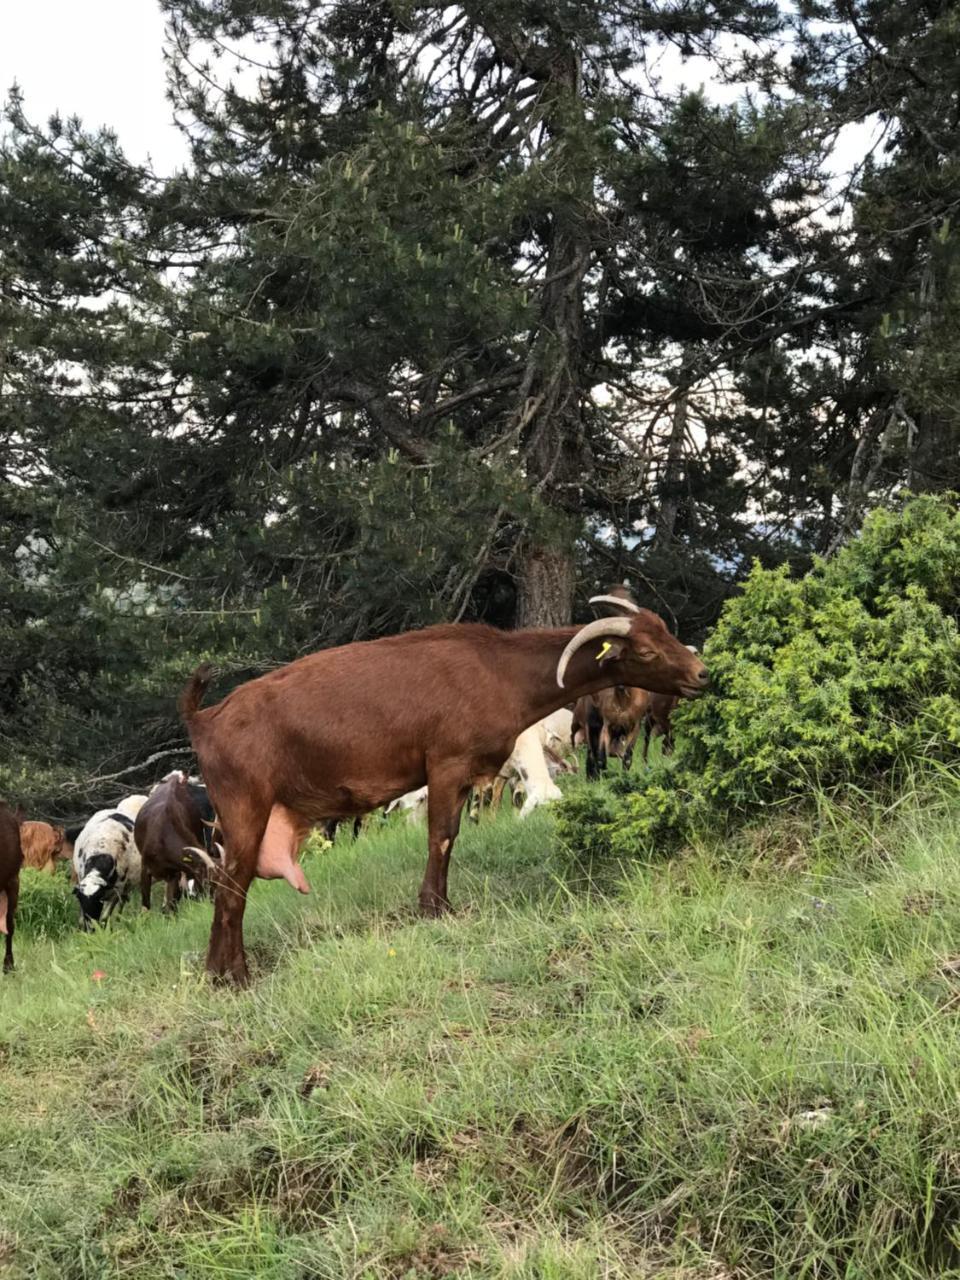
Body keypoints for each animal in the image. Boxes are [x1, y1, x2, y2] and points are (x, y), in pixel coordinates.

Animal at [134, 768, 218, 911]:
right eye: (208, 881)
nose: (213, 903)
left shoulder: (174, 874)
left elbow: (171, 907)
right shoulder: (145, 870)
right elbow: (146, 906)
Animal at [180, 614, 711, 983]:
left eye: (664, 630)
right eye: (645, 651)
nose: (702, 674)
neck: (497, 670)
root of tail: (205, 719)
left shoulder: (465, 776)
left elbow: (451, 835)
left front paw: (441, 905)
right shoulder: (446, 764)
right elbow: (439, 835)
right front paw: (432, 909)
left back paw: (218, 972)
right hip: (245, 807)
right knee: (231, 886)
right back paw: (232, 976)